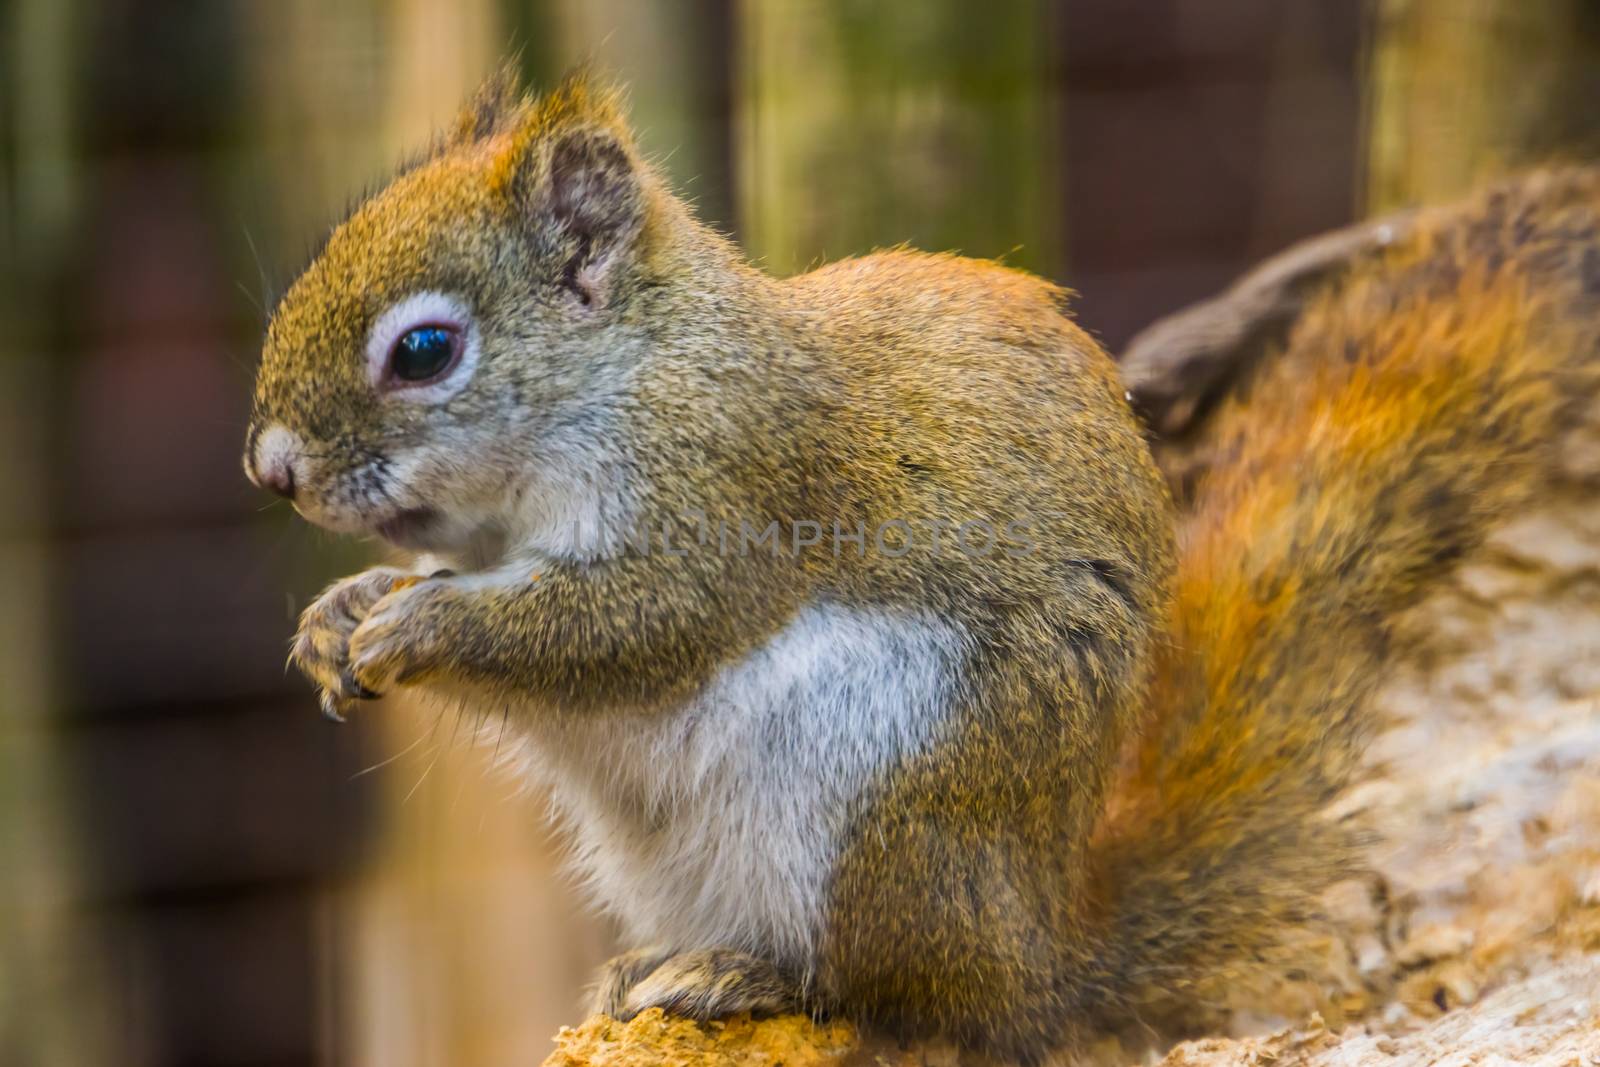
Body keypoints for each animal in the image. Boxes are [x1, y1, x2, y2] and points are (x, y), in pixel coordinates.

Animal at [240, 70, 1600, 1062]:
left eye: (424, 350)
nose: (270, 468)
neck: (627, 372)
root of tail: (1039, 951)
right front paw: (337, 615)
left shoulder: (733, 484)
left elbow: (643, 622)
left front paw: (420, 629)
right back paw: (655, 963)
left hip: (881, 794)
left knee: (896, 1000)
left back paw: (754, 971)